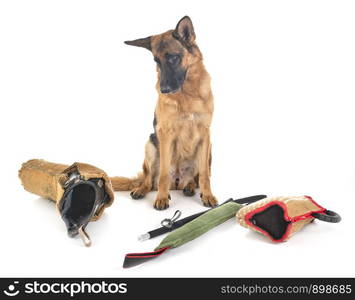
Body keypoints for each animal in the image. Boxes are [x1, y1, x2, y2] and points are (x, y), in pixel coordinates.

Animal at [112, 15, 217, 209]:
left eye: (173, 58)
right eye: (156, 61)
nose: (164, 89)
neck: (187, 94)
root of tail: (178, 182)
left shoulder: (205, 134)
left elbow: (205, 175)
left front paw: (207, 195)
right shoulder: (165, 134)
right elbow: (162, 175)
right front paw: (161, 197)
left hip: (209, 150)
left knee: (195, 178)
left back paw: (189, 187)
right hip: (150, 145)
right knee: (149, 179)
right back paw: (142, 190)